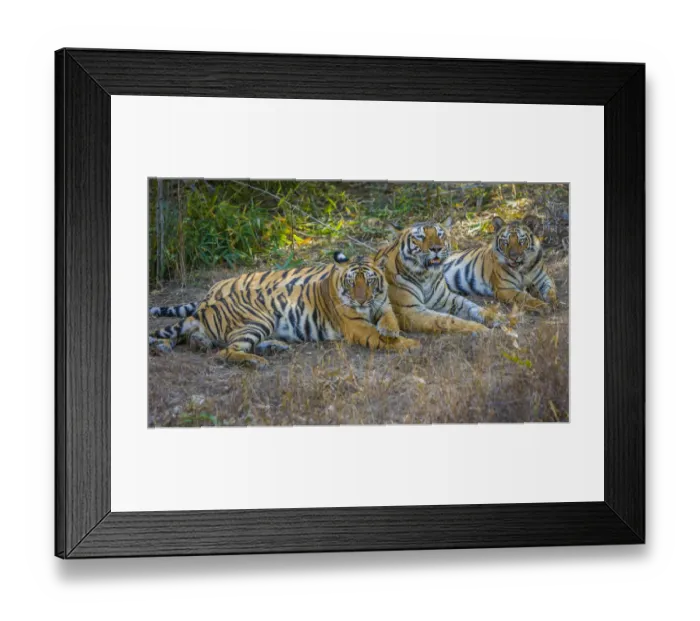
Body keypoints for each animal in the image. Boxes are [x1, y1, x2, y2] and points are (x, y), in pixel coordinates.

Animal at [148, 253, 420, 367]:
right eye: (352, 283)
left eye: (370, 281)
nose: (361, 301)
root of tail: (208, 303)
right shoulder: (357, 325)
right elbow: (377, 336)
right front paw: (410, 344)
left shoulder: (383, 305)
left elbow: (389, 320)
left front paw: (391, 331)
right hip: (258, 320)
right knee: (225, 351)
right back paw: (257, 361)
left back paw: (275, 347)